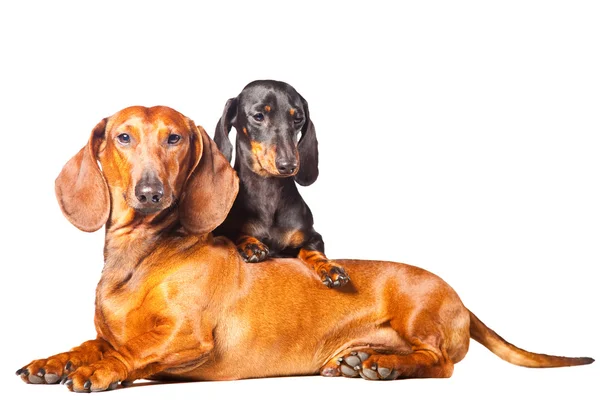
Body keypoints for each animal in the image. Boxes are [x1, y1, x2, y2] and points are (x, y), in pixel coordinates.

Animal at [14, 105, 592, 390]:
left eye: (175, 138)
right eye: (123, 137)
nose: (150, 193)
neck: (143, 258)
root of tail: (463, 302)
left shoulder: (187, 337)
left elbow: (129, 352)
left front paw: (96, 369)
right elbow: (96, 342)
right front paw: (56, 360)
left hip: (419, 319)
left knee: (440, 362)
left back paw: (385, 367)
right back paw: (364, 360)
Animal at [213, 80, 350, 288]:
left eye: (298, 119)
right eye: (258, 116)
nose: (288, 165)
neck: (269, 194)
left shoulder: (314, 237)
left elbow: (311, 250)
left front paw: (329, 267)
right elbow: (234, 233)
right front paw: (251, 244)